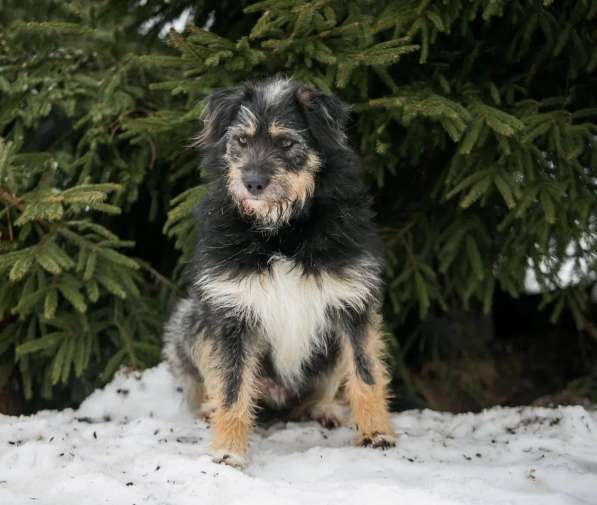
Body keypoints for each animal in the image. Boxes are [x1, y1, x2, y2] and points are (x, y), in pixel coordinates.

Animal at [163, 76, 396, 468]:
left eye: (286, 142)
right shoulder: (231, 310)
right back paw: (210, 409)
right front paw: (227, 451)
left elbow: (366, 375)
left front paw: (377, 433)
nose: (253, 183)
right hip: (188, 321)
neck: (281, 232)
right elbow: (232, 388)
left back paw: (324, 409)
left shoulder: (353, 302)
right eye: (242, 141)